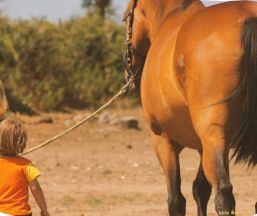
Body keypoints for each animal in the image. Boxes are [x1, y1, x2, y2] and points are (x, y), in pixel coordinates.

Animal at [123, 0, 256, 215]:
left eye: (127, 16)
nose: (129, 70)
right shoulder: (204, 146)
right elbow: (200, 189)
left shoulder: (163, 140)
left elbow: (176, 200)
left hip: (211, 136)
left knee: (223, 192)